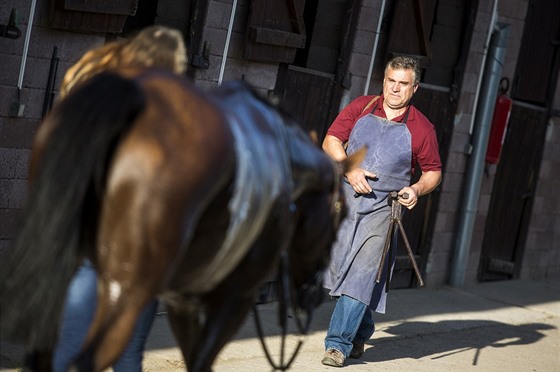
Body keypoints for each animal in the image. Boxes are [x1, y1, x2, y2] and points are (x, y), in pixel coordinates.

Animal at [0, 67, 364, 372]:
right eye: (342, 210)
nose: (315, 293)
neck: (288, 163)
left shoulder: (182, 300)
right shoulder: (235, 297)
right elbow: (201, 360)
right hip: (127, 288)